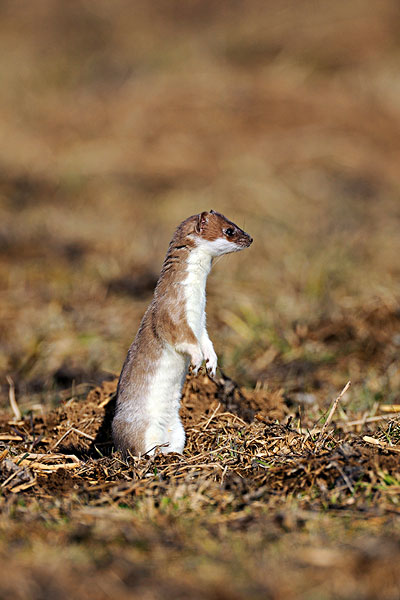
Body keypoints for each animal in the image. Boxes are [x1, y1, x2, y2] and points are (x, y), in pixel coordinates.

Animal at [111, 210, 252, 454]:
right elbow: (184, 339)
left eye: (234, 223)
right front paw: (196, 361)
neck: (195, 301)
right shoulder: (172, 315)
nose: (250, 238)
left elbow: (206, 340)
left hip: (178, 429)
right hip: (137, 428)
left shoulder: (201, 321)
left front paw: (211, 362)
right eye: (230, 230)